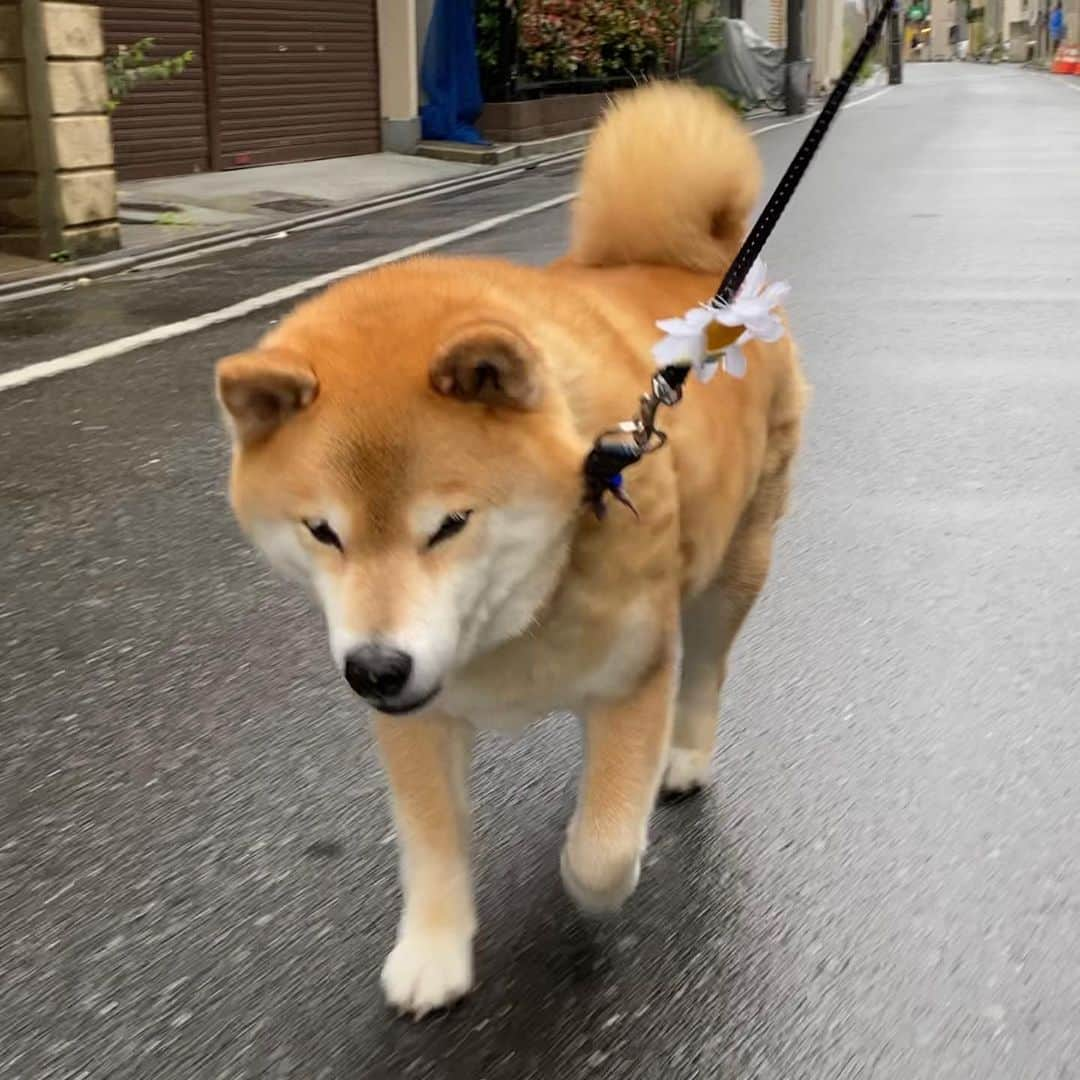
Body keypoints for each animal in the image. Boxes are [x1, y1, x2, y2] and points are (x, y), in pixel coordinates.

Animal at [217, 82, 803, 1010]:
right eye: (323, 531)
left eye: (449, 524)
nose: (374, 668)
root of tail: (705, 281)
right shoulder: (417, 717)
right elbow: (431, 842)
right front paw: (432, 951)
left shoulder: (636, 672)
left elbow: (603, 848)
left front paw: (589, 877)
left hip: (735, 567)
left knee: (707, 668)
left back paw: (681, 759)